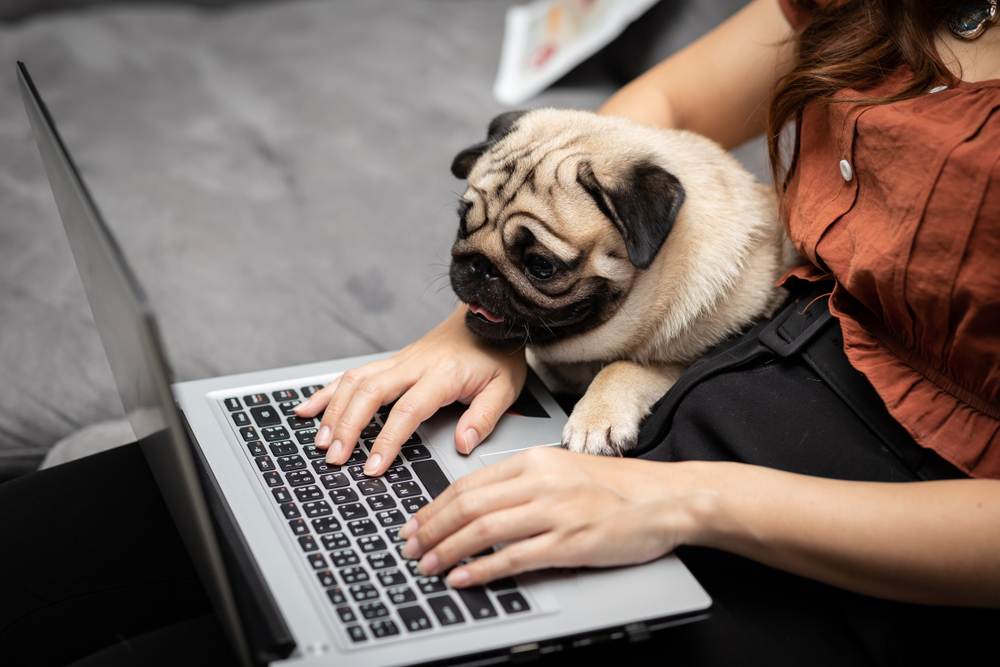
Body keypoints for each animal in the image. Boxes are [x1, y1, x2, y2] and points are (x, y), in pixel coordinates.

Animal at [450, 108, 800, 460]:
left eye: (541, 265)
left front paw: (593, 420)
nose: (481, 266)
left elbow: (622, 367)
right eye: (463, 224)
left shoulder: (685, 364)